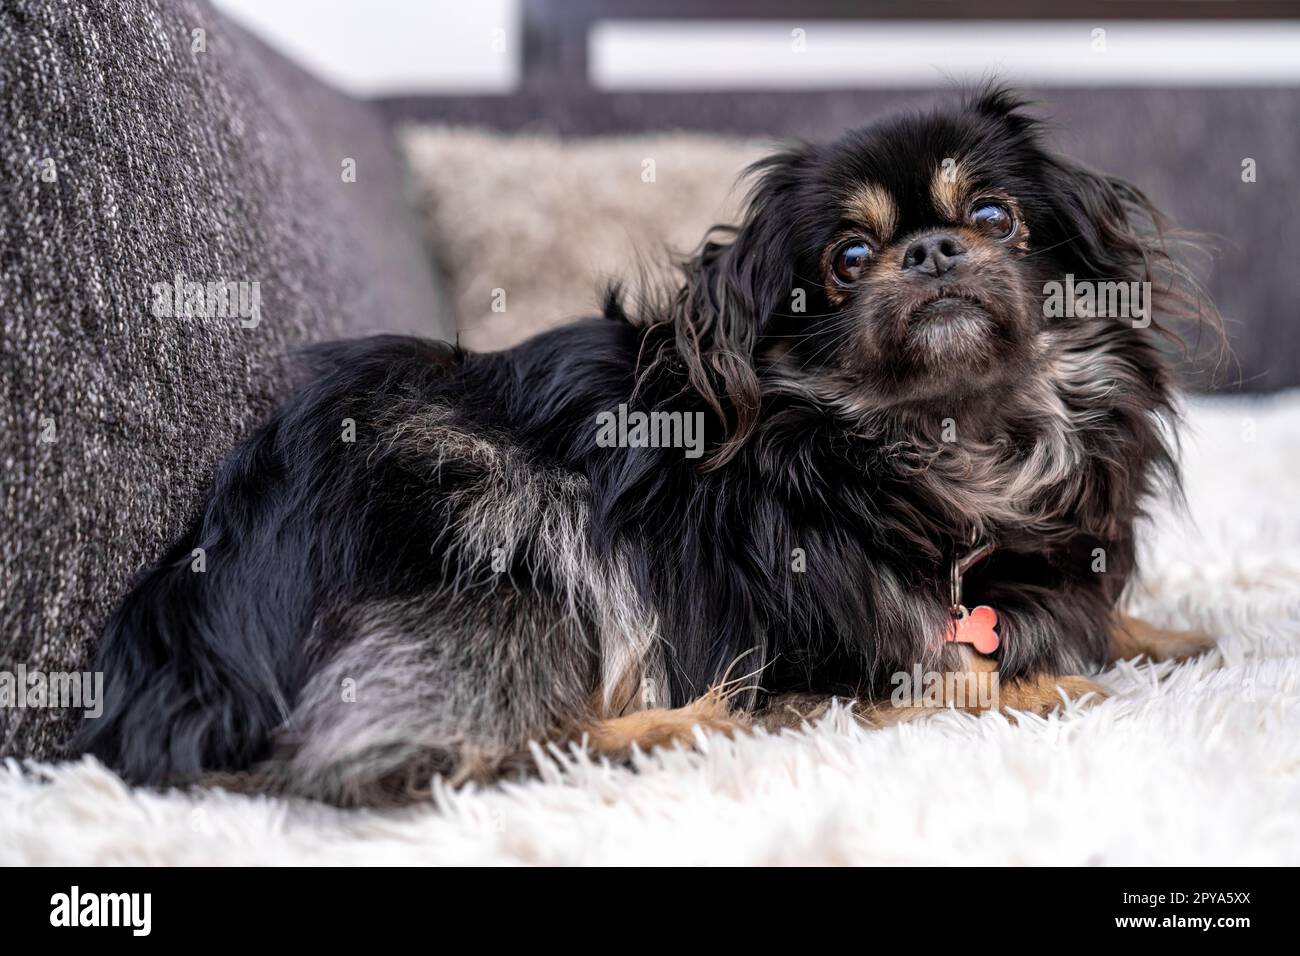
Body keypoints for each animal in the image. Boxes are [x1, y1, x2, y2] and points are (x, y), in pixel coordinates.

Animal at [78, 91, 1216, 806]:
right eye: (847, 260)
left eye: (993, 213)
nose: (934, 249)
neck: (944, 458)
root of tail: (181, 651)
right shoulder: (811, 653)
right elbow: (940, 678)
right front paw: (1041, 683)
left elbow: (1094, 617)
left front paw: (1165, 633)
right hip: (507, 517)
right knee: (411, 755)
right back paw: (684, 725)